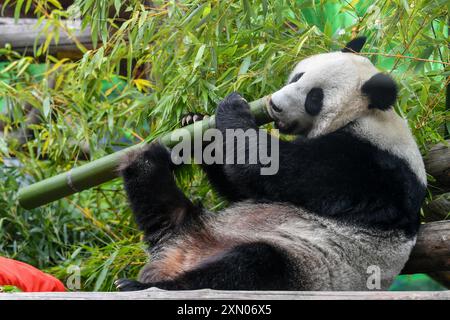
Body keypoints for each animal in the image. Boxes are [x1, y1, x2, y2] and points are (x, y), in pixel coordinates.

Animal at [115, 37, 426, 292]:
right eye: (297, 77)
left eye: (315, 98)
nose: (274, 105)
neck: (367, 115)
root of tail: (178, 255)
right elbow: (246, 191)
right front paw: (195, 125)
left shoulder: (365, 165)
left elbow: (270, 168)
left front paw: (234, 107)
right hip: (193, 226)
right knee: (164, 210)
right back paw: (144, 163)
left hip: (302, 265)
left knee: (248, 267)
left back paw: (150, 286)